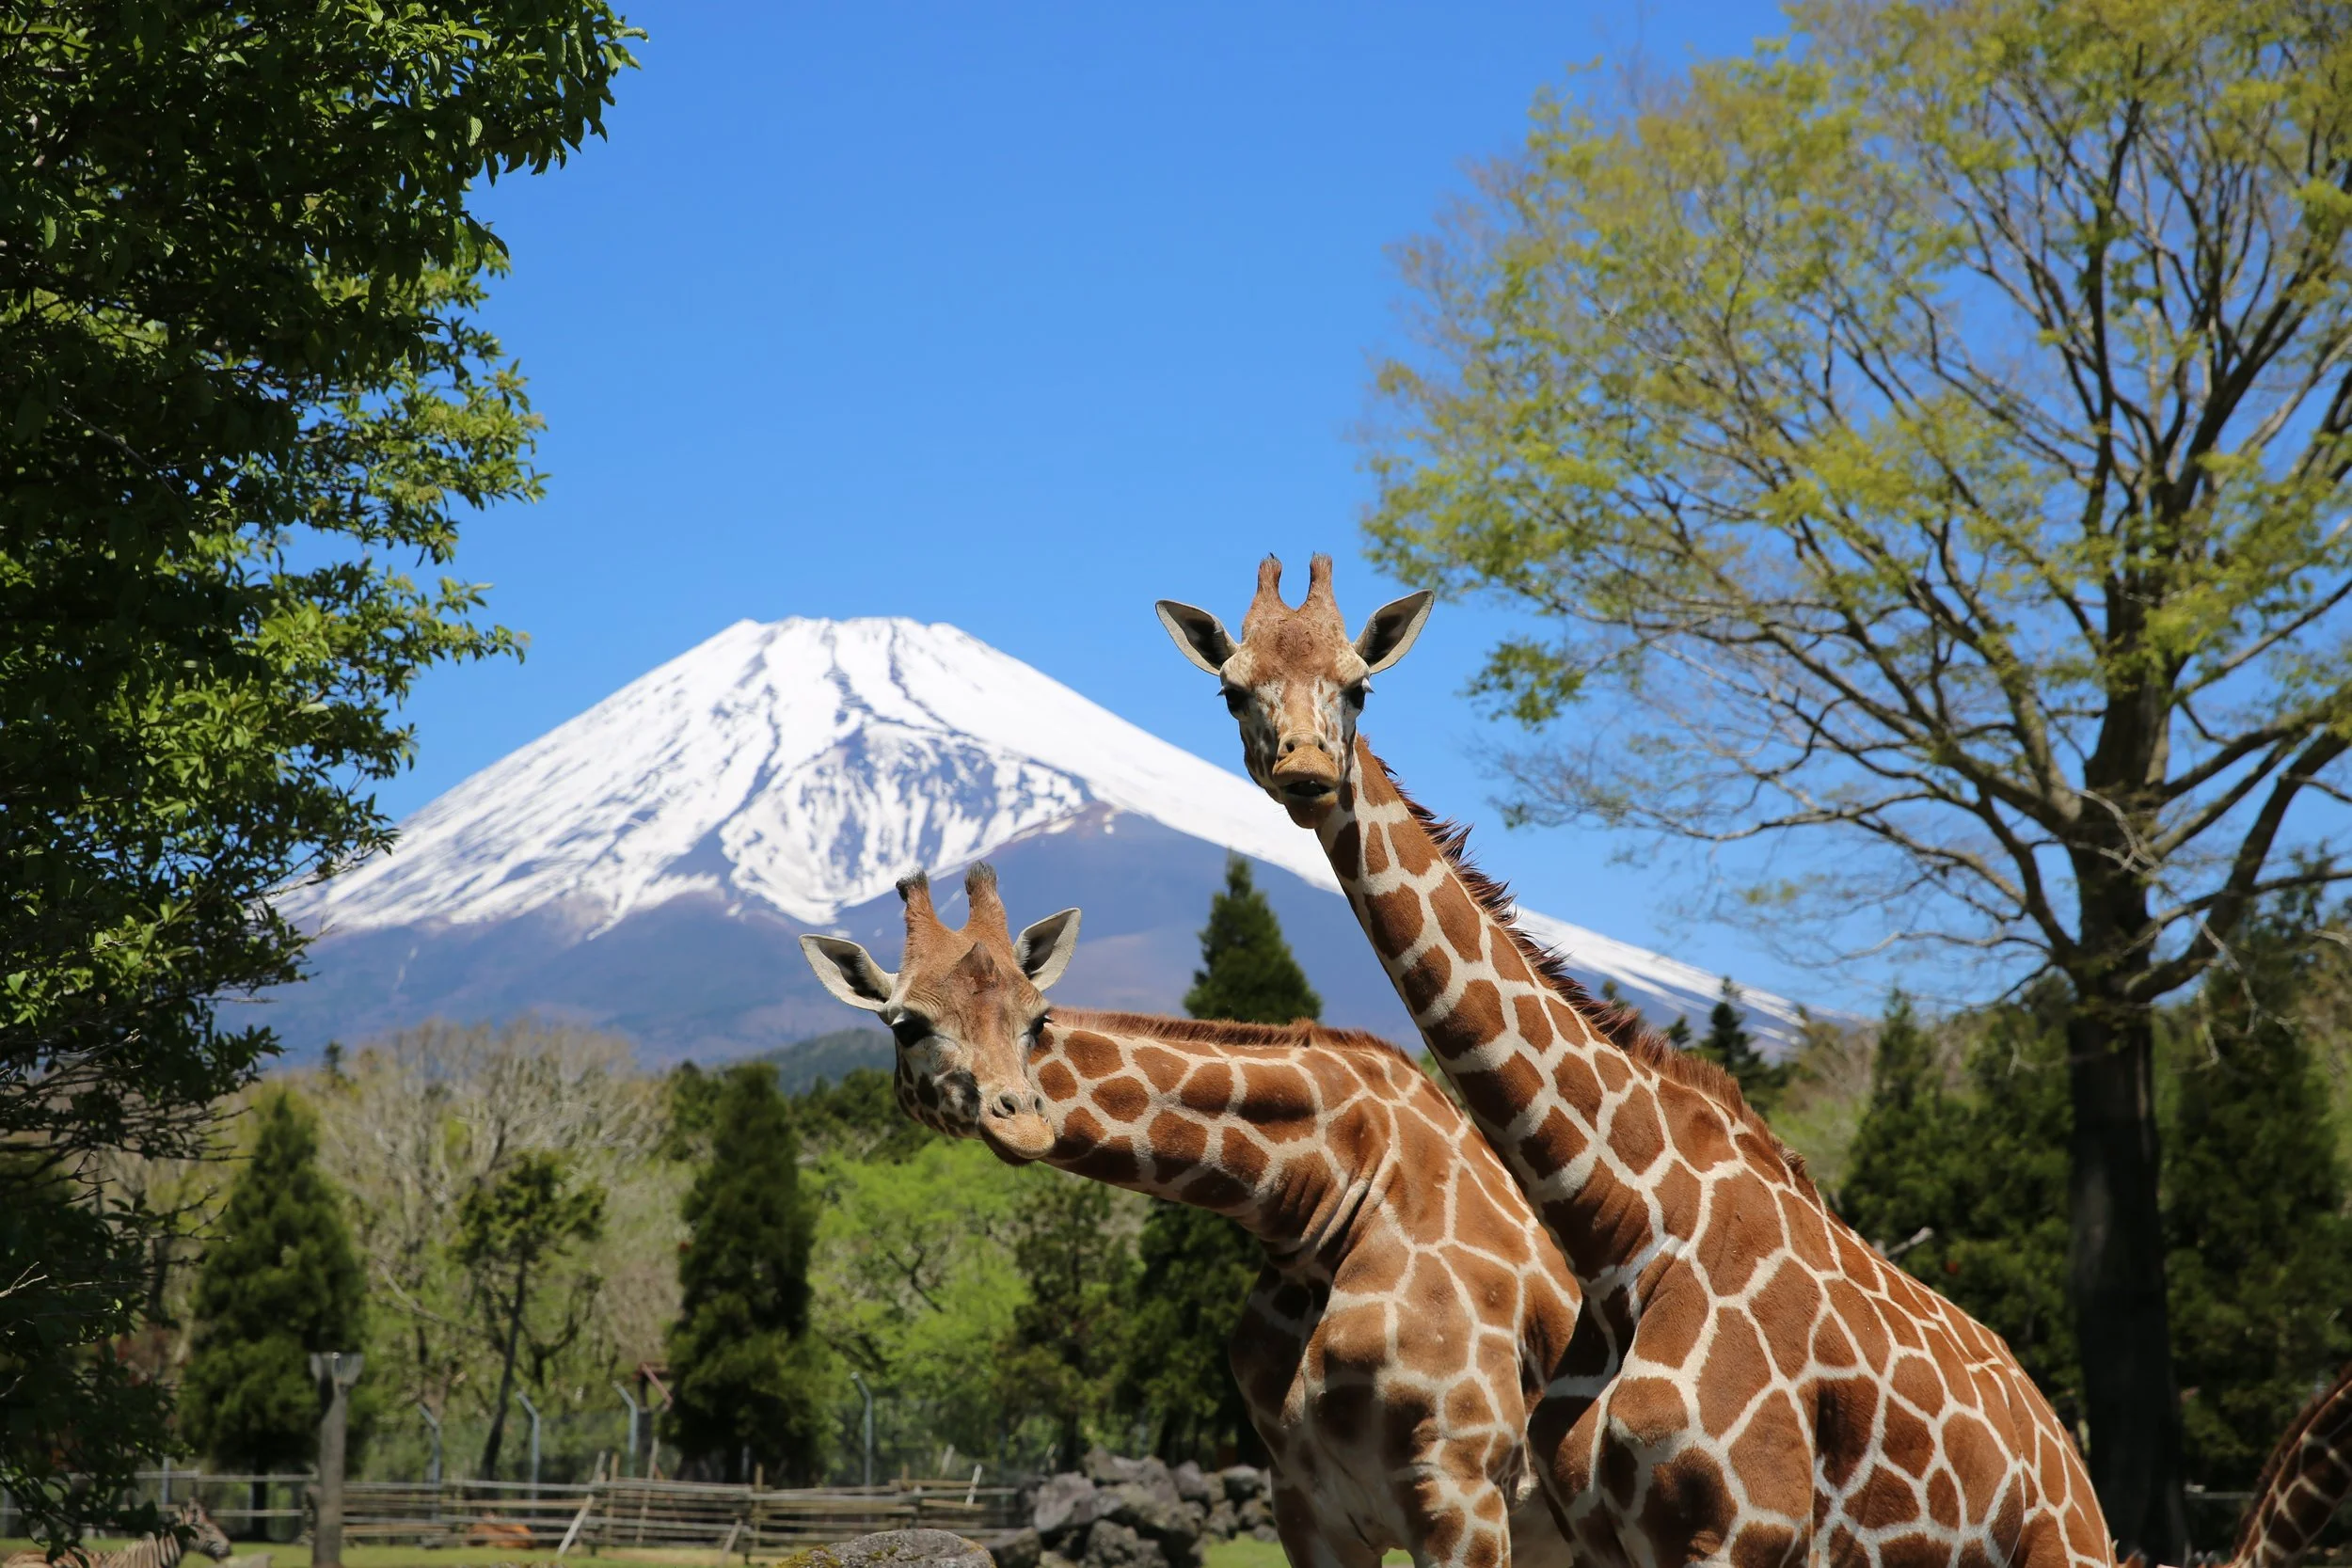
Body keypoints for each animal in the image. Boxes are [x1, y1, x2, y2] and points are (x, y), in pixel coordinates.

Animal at [800, 863, 1584, 1568]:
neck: (1331, 1202)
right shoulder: (1307, 1506)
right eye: (907, 1025)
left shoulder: (1460, 1495)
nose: (1022, 1121)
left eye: (1038, 1019)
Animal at [1156, 555, 2110, 1568]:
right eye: (1232, 690)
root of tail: (2067, 1450)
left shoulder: (1740, 1529)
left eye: (1358, 686)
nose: (1304, 771)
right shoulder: (1596, 1532)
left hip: (2063, 1551)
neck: (1620, 1234)